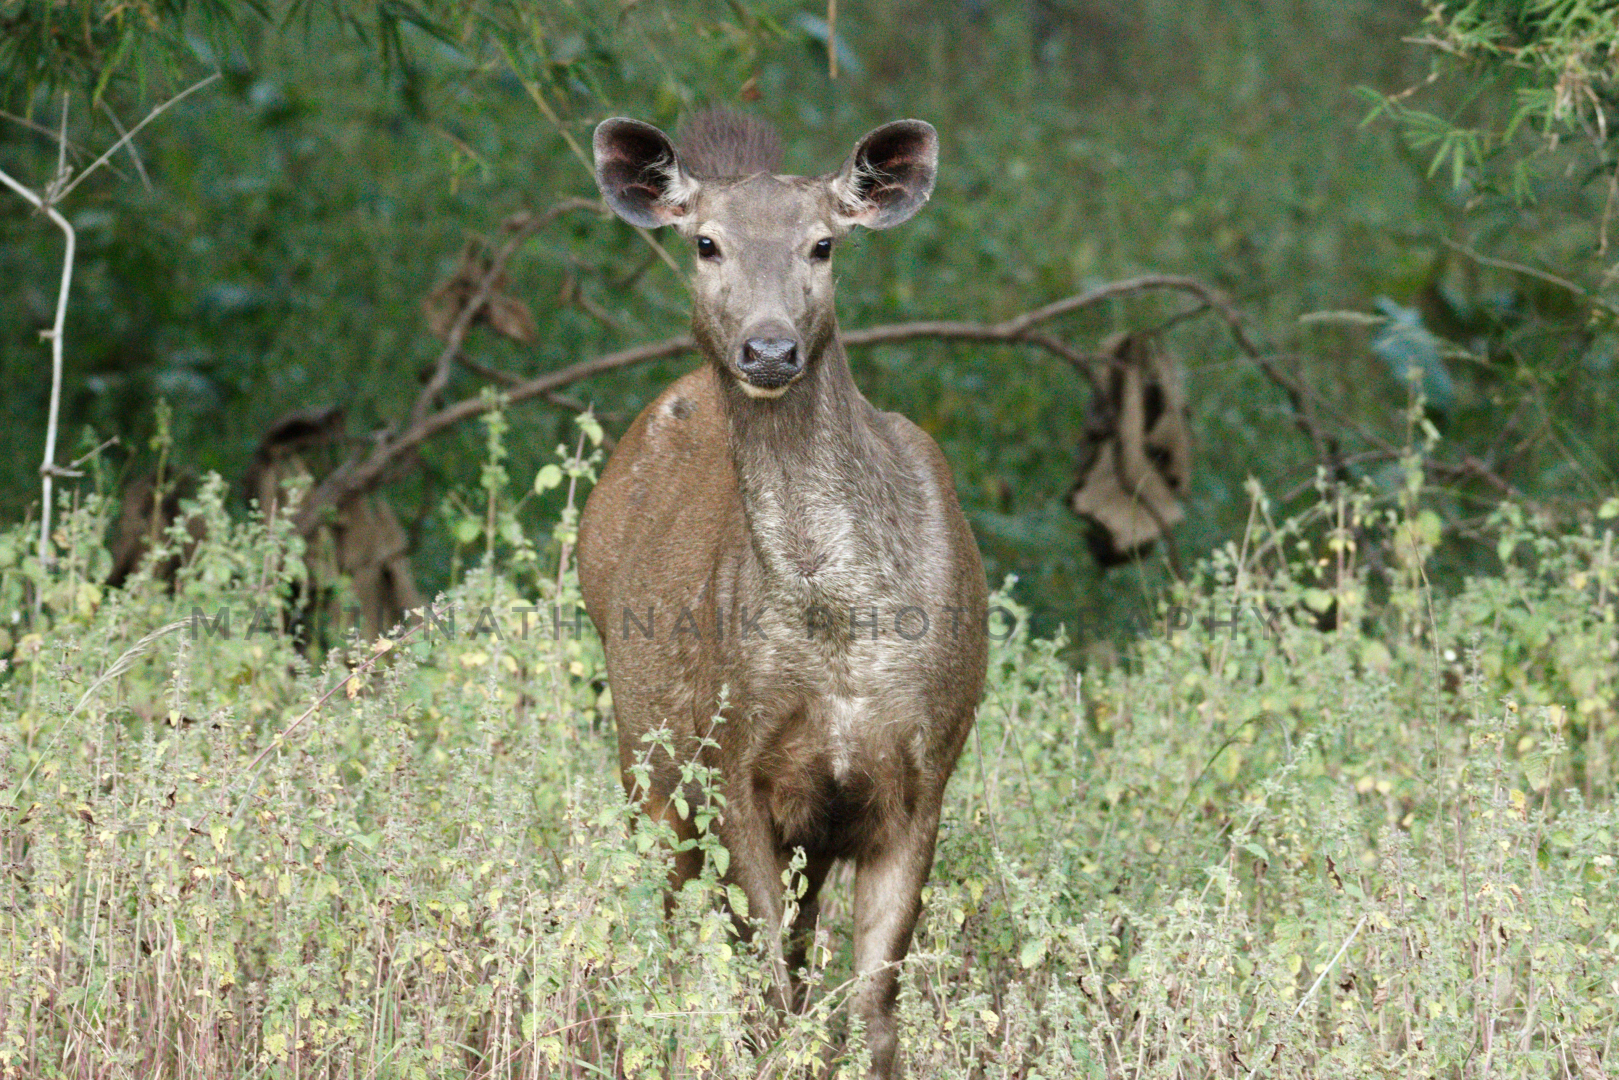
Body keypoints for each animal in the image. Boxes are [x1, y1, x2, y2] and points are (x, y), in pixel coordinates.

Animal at [582, 111, 984, 1080]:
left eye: (823, 243)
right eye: (705, 241)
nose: (768, 349)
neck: (839, 630)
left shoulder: (925, 768)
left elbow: (872, 1003)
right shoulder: (730, 761)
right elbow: (767, 987)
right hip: (645, 761)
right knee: (660, 926)